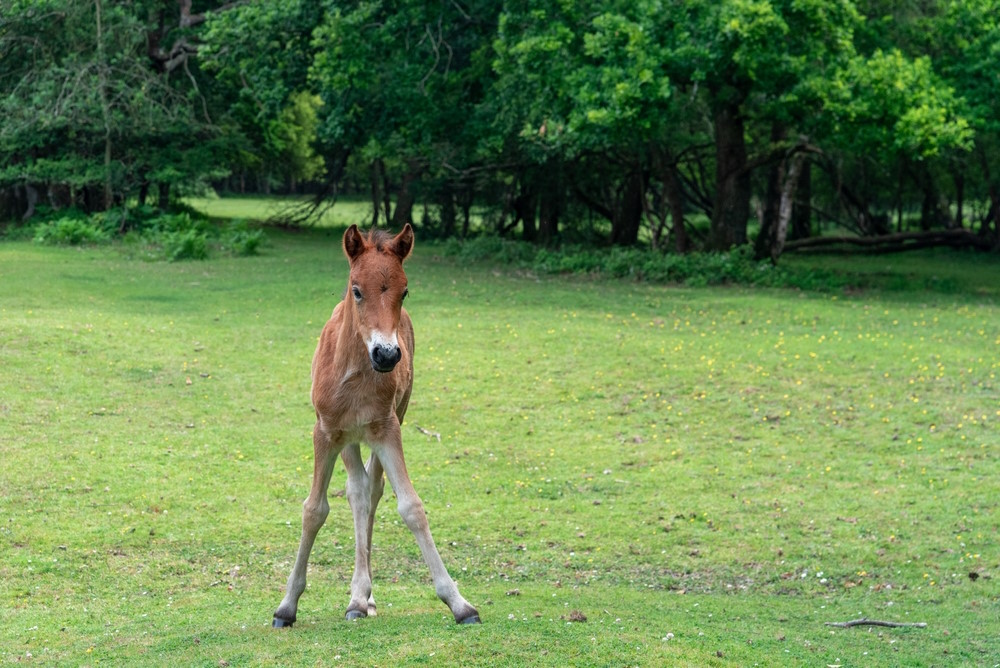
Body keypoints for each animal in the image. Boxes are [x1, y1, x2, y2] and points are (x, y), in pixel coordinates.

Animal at [272, 224, 480, 627]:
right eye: (356, 290)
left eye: (405, 291)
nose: (386, 355)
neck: (354, 374)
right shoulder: (325, 433)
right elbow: (313, 510)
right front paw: (286, 606)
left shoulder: (387, 429)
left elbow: (411, 507)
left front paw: (459, 603)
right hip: (348, 438)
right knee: (358, 490)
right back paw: (358, 597)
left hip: (393, 415)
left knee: (371, 490)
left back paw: (361, 598)